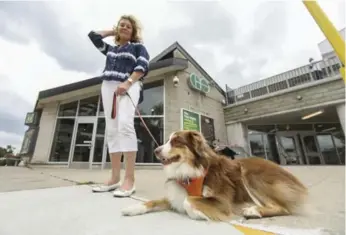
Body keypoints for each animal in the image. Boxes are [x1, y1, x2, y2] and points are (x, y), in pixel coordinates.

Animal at [121, 129, 308, 221]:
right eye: (167, 141)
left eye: (176, 142)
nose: (155, 151)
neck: (190, 169)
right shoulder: (175, 194)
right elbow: (153, 201)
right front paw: (132, 208)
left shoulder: (222, 201)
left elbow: (189, 201)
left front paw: (199, 214)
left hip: (250, 175)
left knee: (283, 208)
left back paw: (253, 211)